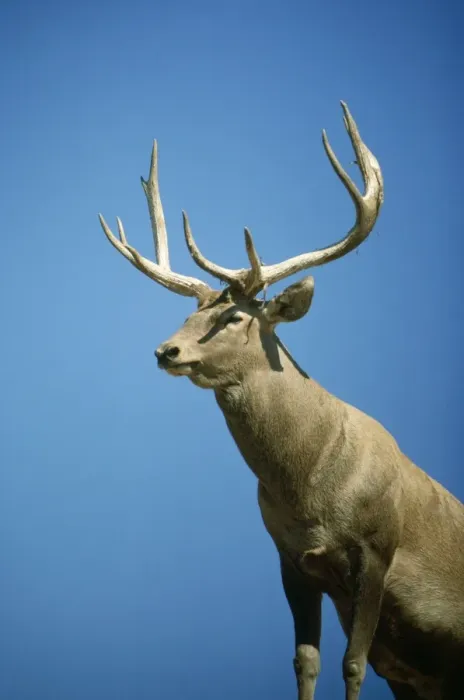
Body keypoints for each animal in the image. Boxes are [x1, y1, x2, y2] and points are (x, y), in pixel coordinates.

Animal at [98, 103, 464, 700]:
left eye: (234, 316)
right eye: (191, 313)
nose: (165, 350)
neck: (311, 488)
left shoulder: (377, 548)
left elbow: (352, 663)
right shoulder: (291, 558)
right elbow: (305, 661)